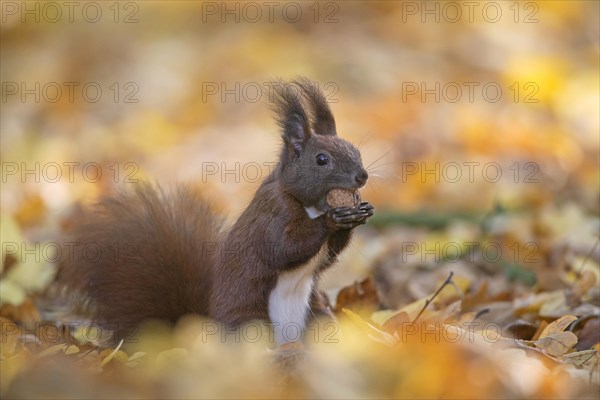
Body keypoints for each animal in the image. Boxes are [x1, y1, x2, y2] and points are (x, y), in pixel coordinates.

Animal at [59, 78, 370, 344]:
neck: (310, 205)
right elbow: (283, 247)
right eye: (321, 159)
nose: (362, 176)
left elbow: (326, 257)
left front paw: (359, 212)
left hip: (317, 316)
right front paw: (333, 220)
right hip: (250, 324)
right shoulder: (272, 212)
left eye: (355, 150)